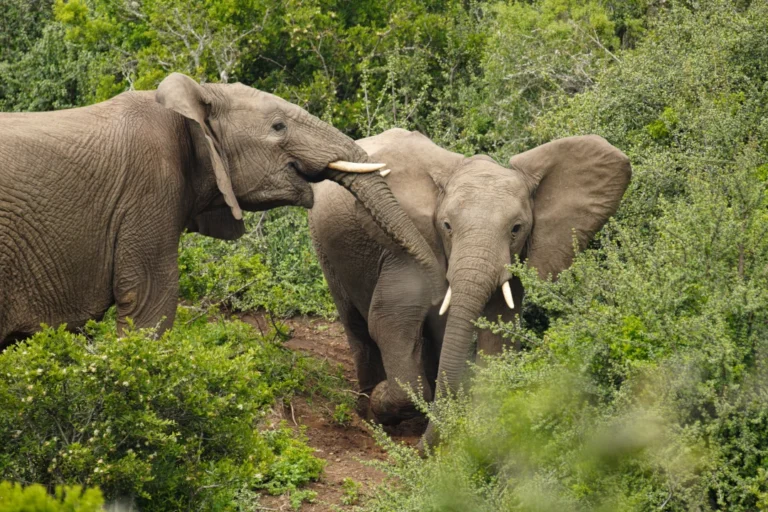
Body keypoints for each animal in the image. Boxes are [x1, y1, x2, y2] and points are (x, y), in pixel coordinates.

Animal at [306, 129, 632, 444]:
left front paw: (481, 430)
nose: (424, 450)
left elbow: (500, 330)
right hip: (325, 246)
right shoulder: (407, 244)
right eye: (447, 226)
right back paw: (368, 409)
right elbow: (389, 320)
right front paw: (386, 401)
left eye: (516, 229)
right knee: (356, 323)